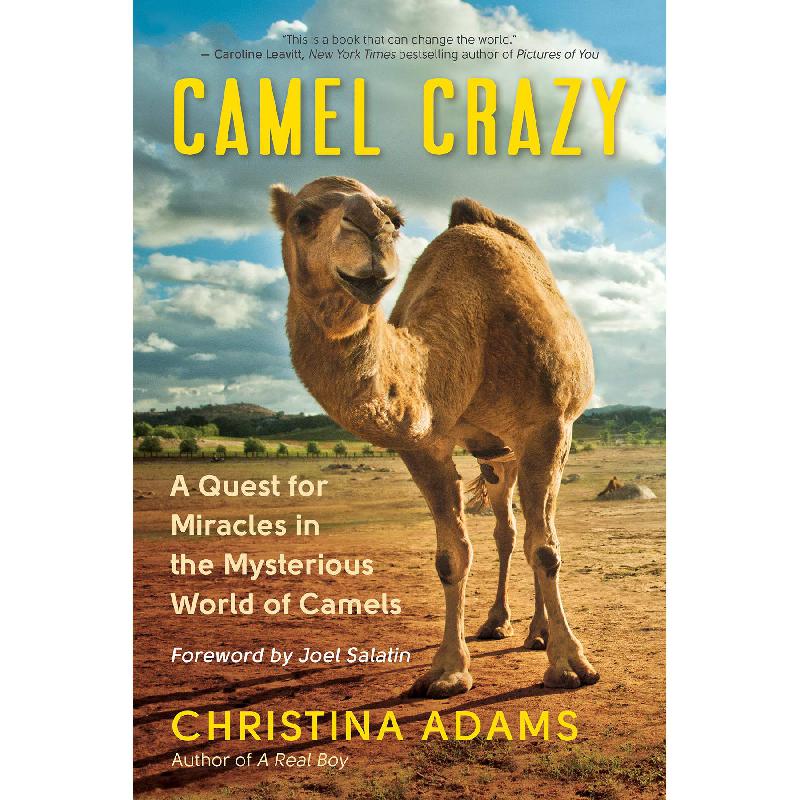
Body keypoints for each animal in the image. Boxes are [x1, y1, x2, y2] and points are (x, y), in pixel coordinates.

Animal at [270, 176, 598, 698]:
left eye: (395, 218)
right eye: (302, 217)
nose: (370, 225)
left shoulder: (548, 425)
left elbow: (546, 549)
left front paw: (570, 664)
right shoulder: (424, 445)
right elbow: (452, 556)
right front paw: (447, 670)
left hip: (544, 442)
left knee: (538, 529)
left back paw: (539, 633)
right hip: (496, 455)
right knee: (508, 529)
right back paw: (499, 622)